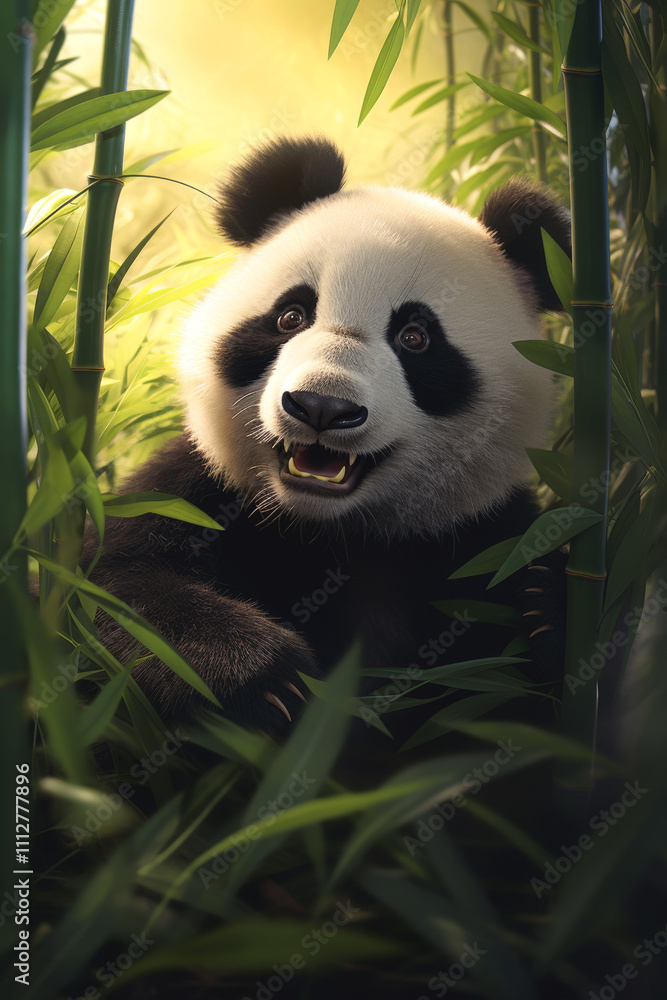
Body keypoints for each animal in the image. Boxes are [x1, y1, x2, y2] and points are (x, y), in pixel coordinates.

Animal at [84, 135, 570, 738]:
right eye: (291, 316)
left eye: (415, 338)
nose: (322, 406)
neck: (331, 530)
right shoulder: (199, 490)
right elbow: (111, 586)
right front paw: (268, 677)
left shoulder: (480, 529)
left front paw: (541, 602)